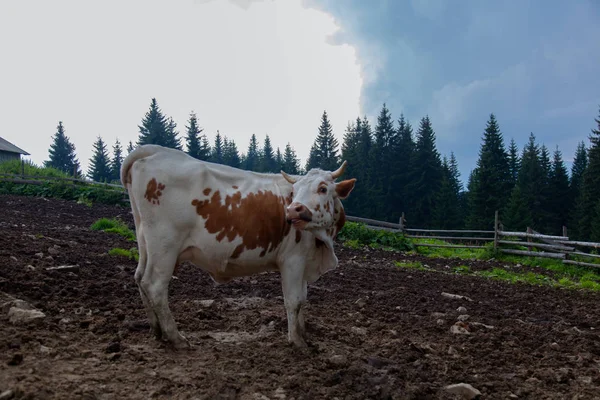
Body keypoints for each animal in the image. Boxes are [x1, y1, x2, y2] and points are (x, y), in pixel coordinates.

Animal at [121, 144, 356, 346]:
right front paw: (297, 341)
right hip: (165, 246)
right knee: (155, 285)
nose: (292, 210)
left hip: (145, 241)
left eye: (323, 188)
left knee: (140, 278)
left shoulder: (305, 260)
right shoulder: (292, 260)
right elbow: (294, 300)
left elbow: (304, 300)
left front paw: (304, 333)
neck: (322, 244)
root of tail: (158, 151)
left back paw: (157, 331)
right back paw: (175, 337)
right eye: (295, 189)